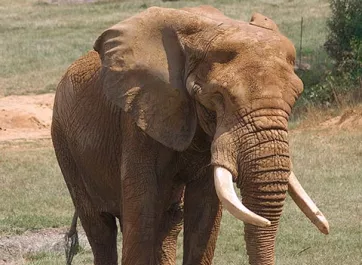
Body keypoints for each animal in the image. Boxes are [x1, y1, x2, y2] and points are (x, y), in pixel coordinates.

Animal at [52, 5, 330, 264]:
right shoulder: (138, 118)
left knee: (169, 219)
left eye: (296, 95)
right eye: (217, 96)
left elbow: (204, 211)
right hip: (64, 143)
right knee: (100, 227)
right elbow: (141, 213)